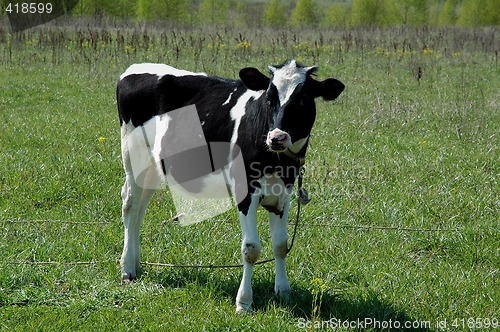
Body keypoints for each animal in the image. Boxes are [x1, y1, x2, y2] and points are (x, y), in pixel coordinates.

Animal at [117, 60, 344, 314]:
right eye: (269, 97)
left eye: (303, 98)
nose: (277, 137)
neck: (277, 162)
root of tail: (134, 68)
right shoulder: (246, 192)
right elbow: (251, 248)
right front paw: (244, 302)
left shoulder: (284, 194)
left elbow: (281, 245)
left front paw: (284, 292)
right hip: (134, 158)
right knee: (130, 205)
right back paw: (127, 268)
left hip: (153, 167)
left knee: (139, 211)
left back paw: (136, 264)